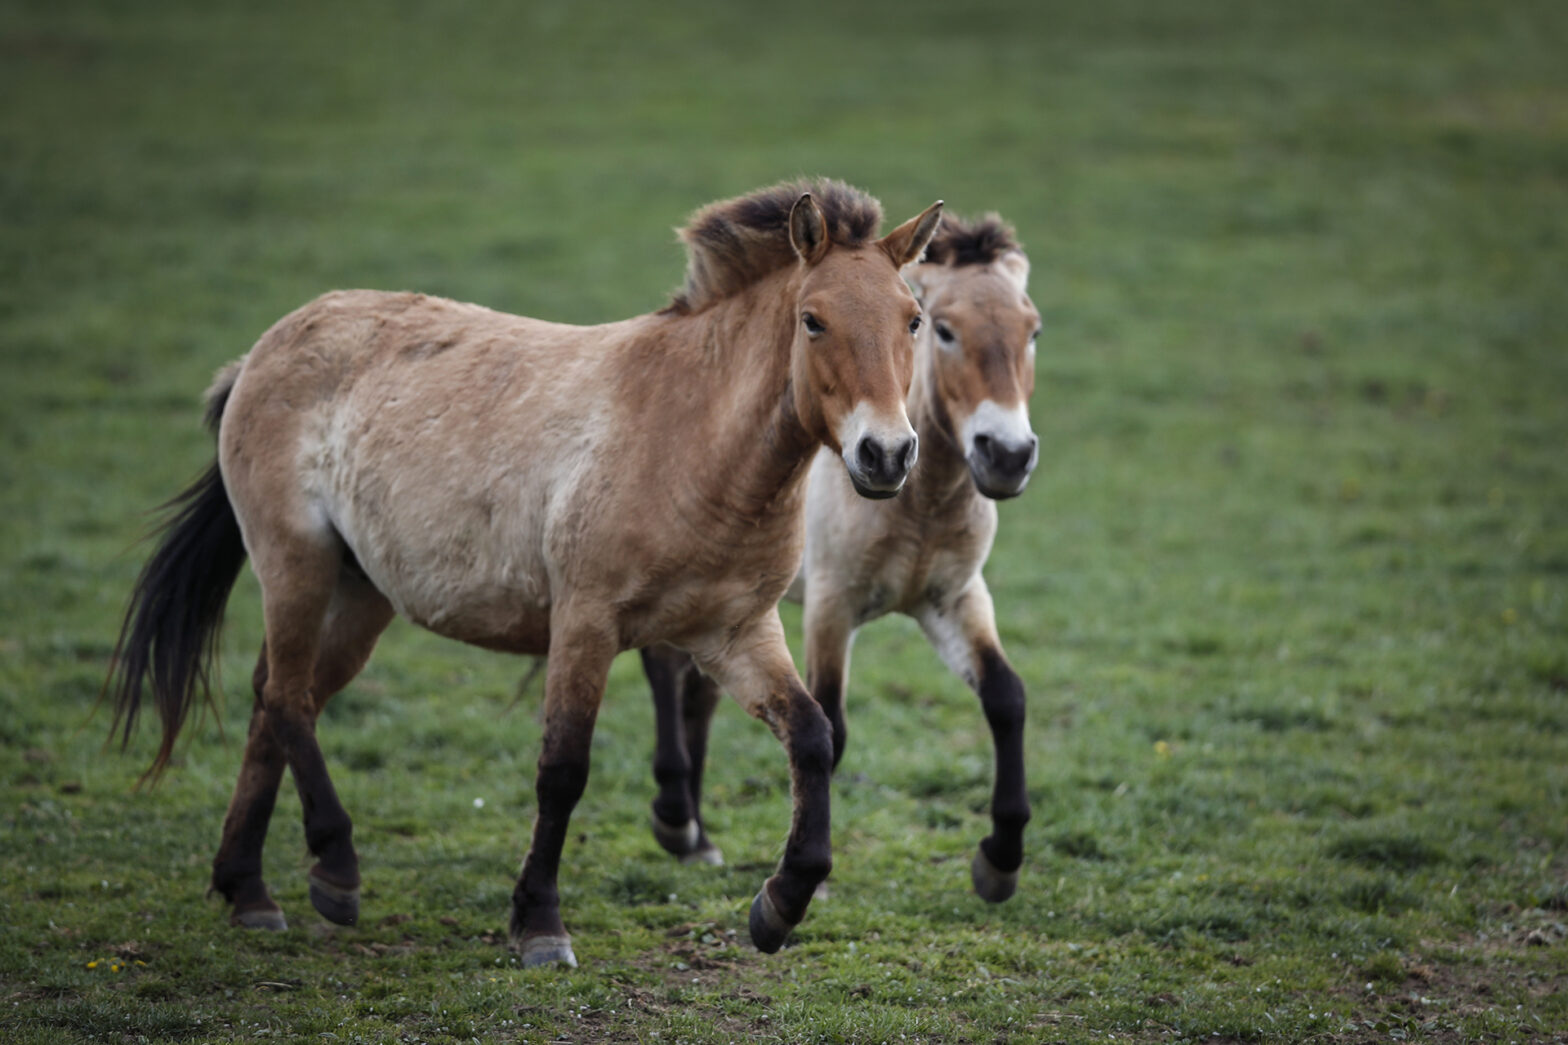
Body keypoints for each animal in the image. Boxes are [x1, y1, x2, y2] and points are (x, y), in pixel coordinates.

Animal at [110, 181, 947, 966]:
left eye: (913, 319)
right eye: (813, 319)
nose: (886, 454)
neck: (689, 437)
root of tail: (263, 351)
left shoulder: (733, 631)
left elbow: (811, 736)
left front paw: (779, 904)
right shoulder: (585, 622)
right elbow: (563, 769)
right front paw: (539, 923)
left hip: (359, 593)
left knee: (280, 700)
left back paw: (247, 887)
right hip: (295, 563)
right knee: (286, 699)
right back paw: (335, 870)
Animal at [636, 210, 1041, 897]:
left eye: (1033, 330)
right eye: (944, 329)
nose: (1007, 455)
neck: (919, 504)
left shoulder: (954, 599)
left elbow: (1005, 697)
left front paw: (1000, 861)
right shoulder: (832, 606)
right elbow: (834, 722)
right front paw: (812, 881)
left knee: (699, 691)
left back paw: (698, 836)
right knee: (665, 668)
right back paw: (676, 822)